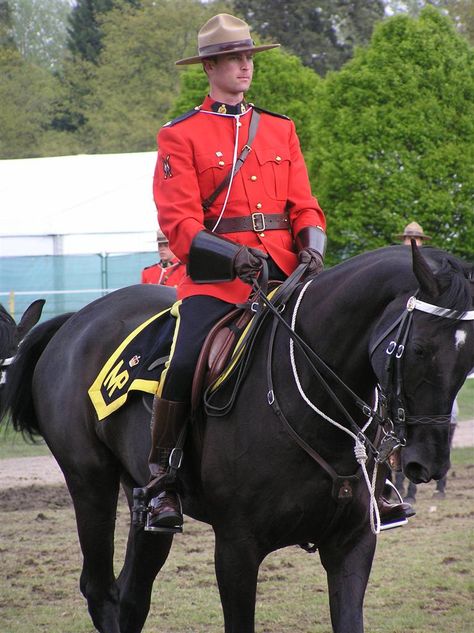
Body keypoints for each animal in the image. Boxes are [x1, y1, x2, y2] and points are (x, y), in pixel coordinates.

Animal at [1, 246, 472, 632]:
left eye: (469, 358)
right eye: (419, 349)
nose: (428, 462)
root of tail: (79, 319)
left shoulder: (352, 544)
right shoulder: (236, 550)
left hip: (143, 501)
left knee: (131, 597)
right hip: (90, 483)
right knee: (99, 591)